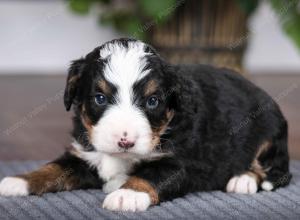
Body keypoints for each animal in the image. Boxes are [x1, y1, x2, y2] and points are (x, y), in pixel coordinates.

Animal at [0, 38, 290, 212]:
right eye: (100, 98)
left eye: (152, 101)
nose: (125, 140)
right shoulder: (84, 154)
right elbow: (53, 168)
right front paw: (19, 180)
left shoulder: (184, 162)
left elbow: (152, 174)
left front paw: (127, 194)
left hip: (270, 132)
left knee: (277, 169)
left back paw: (243, 179)